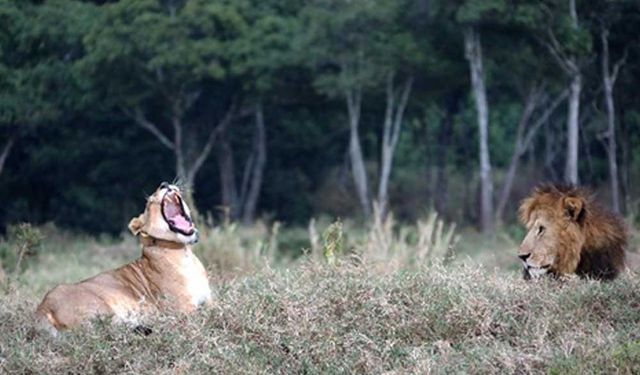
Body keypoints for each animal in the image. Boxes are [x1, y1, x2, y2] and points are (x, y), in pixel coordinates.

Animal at [35, 182, 210, 334]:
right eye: (150, 202)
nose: (164, 184)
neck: (184, 252)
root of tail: (43, 308)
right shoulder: (184, 309)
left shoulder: (208, 300)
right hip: (101, 309)